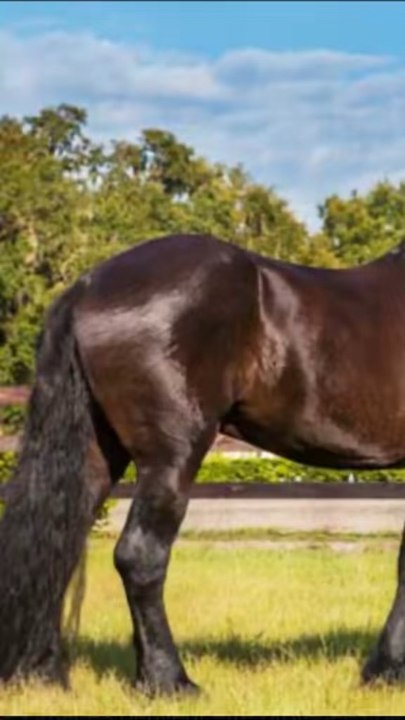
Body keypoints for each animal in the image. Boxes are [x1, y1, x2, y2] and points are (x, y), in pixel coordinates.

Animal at [1, 232, 405, 695]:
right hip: (172, 460)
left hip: (96, 455)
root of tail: (87, 286)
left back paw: (41, 674)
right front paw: (387, 671)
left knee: (58, 546)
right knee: (140, 555)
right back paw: (169, 682)